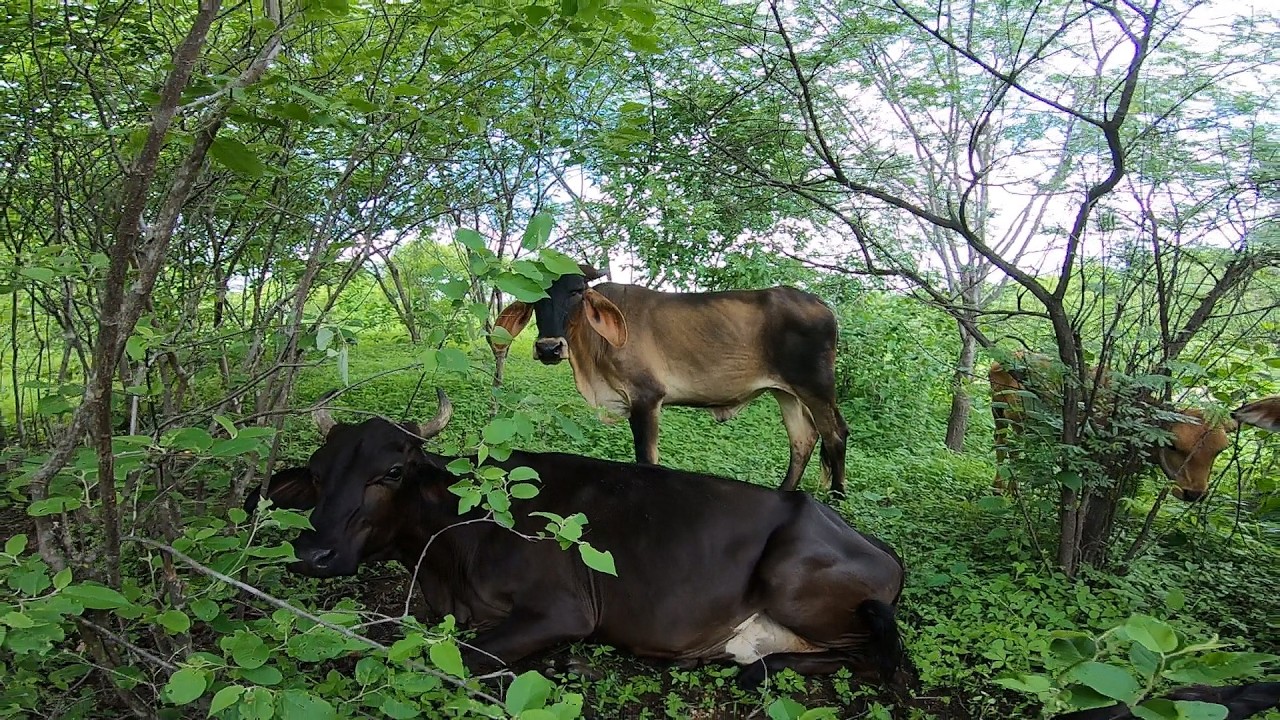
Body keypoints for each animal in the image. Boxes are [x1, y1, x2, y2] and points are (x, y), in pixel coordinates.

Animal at [245, 390, 905, 687]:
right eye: (318, 473)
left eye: (390, 472)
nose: (313, 553)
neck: (450, 549)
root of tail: (876, 546)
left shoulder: (563, 611)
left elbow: (456, 658)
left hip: (795, 585)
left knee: (866, 655)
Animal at [492, 266, 849, 494]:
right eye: (532, 293)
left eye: (577, 291)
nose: (549, 348)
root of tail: (822, 305)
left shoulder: (646, 399)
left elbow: (646, 459)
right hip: (785, 392)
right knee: (803, 439)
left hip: (816, 388)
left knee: (835, 435)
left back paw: (836, 499)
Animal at [989, 355, 1234, 502]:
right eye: (1173, 446)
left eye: (1219, 450)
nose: (1194, 493)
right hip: (1005, 415)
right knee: (1005, 448)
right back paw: (1001, 490)